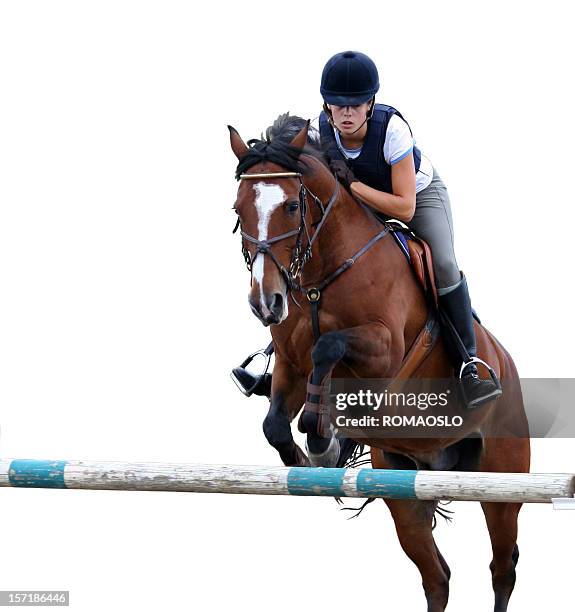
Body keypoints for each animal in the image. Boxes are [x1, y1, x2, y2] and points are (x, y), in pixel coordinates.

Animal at [228, 113, 532, 612]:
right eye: (238, 211)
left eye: (292, 206)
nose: (265, 303)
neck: (322, 275)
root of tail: (505, 362)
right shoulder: (290, 364)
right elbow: (276, 422)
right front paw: (310, 454)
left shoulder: (384, 350)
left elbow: (328, 348)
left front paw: (318, 433)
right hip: (402, 486)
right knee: (437, 576)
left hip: (502, 485)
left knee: (502, 567)